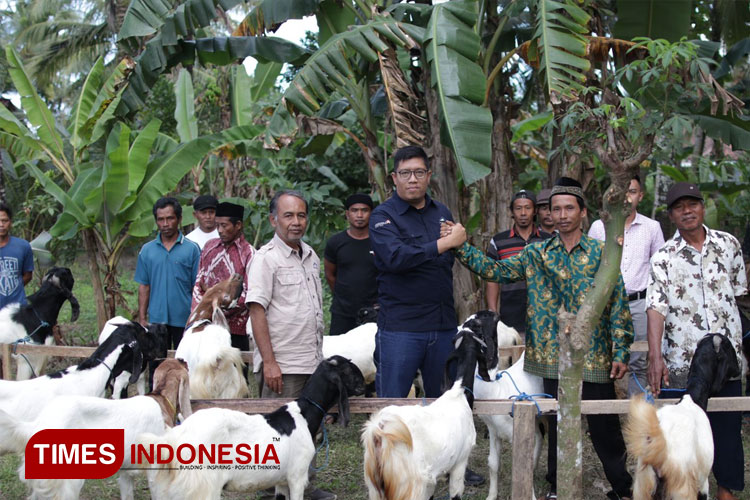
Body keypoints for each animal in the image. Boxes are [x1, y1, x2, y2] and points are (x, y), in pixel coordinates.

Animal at [140, 356, 368, 500]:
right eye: (349, 369)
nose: (364, 383)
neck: (303, 414)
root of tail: (175, 437)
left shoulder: (281, 482)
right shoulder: (296, 476)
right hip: (203, 488)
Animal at [364, 312, 500, 500]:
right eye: (479, 330)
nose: (492, 313)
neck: (458, 392)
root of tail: (379, 433)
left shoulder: (432, 480)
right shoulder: (459, 462)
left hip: (375, 488)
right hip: (410, 486)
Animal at [624, 332, 744, 500]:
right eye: (730, 348)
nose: (738, 371)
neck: (692, 398)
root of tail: (660, 450)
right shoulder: (703, 482)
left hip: (644, 487)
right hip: (682, 489)